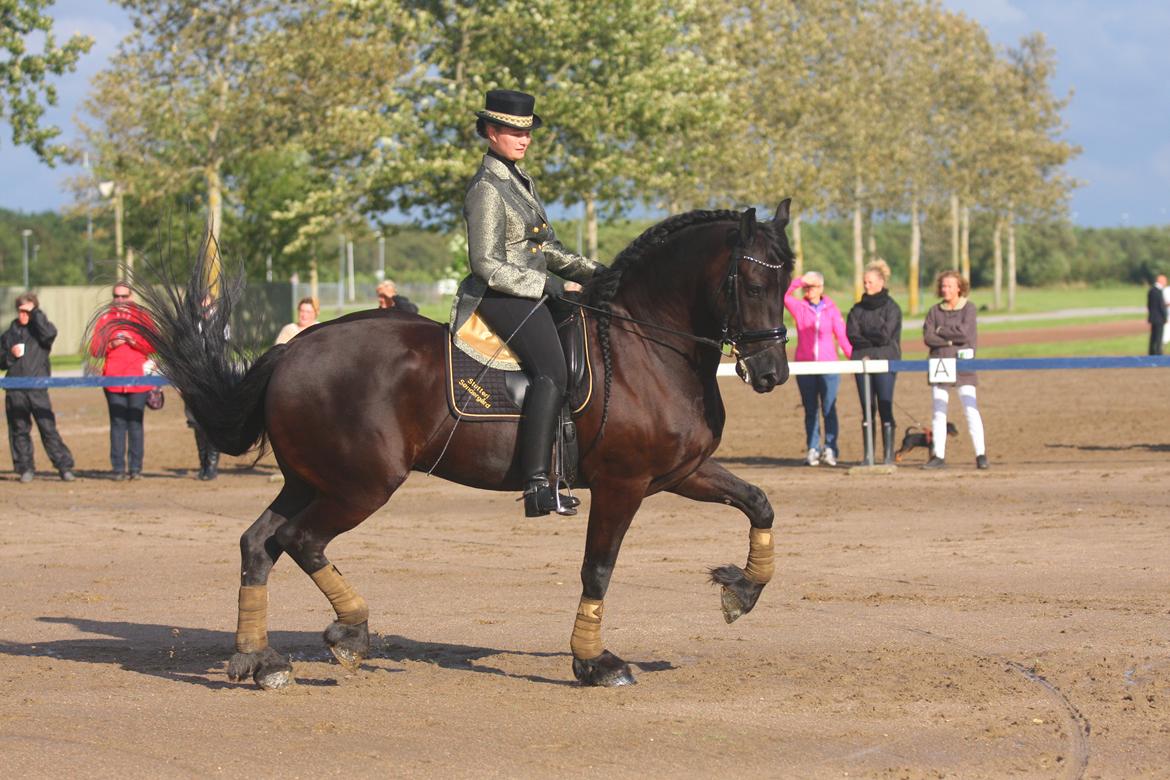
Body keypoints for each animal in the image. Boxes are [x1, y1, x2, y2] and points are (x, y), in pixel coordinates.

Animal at [134, 201, 795, 687]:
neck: (640, 348)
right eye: (749, 280)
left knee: (260, 544)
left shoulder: (683, 471)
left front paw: (741, 591)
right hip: (361, 485)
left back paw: (260, 660)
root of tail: (293, 350)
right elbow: (598, 569)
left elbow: (759, 503)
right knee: (300, 541)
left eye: (787, 278)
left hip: (310, 479)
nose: (770, 373)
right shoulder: (622, 484)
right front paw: (594, 662)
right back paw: (350, 635)